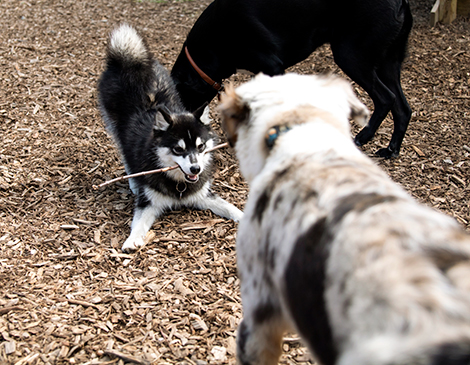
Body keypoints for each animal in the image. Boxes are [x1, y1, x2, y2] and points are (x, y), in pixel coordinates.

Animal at [171, 0, 414, 156]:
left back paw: (364, 136)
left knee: (386, 98)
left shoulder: (273, 67)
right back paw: (391, 150)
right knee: (403, 108)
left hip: (351, 56)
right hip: (388, 64)